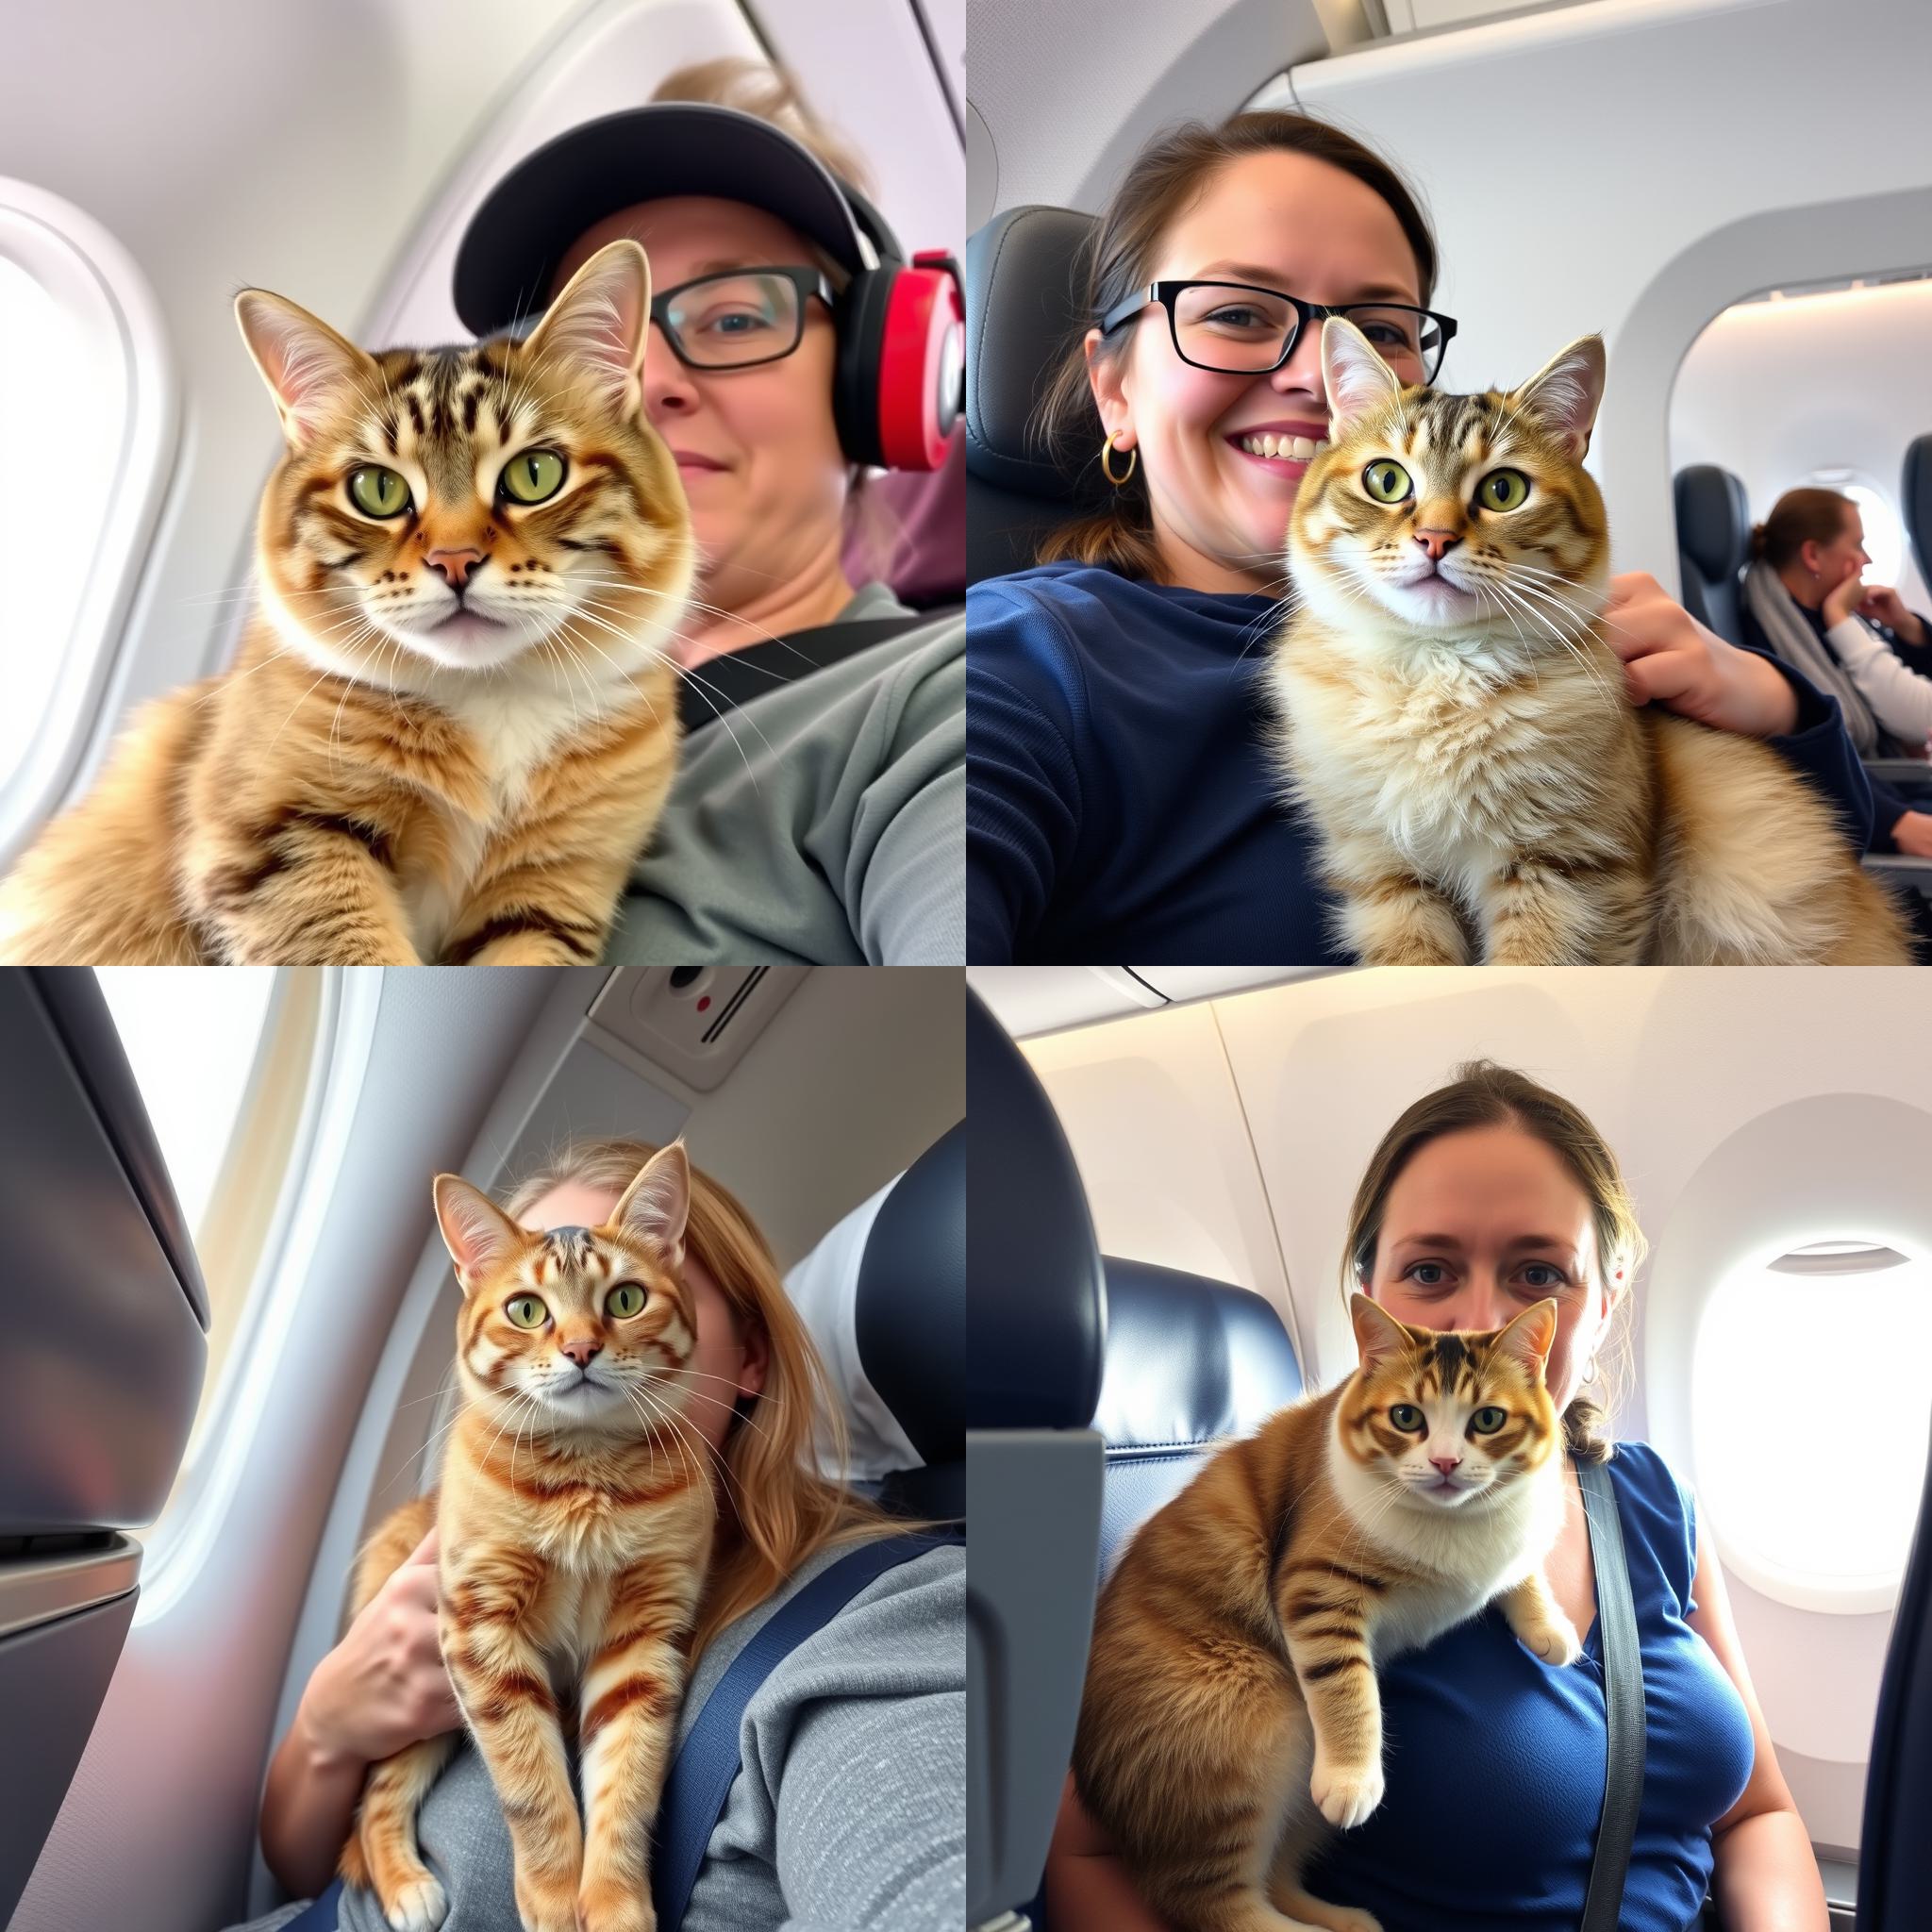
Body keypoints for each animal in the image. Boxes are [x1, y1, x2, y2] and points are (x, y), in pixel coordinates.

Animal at [0, 242, 695, 966]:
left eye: (535, 475)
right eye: (377, 490)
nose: (454, 561)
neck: (493, 697)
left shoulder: (551, 894)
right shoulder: (286, 840)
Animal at [343, 1143, 714, 1932]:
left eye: (626, 1300)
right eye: (527, 1309)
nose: (580, 1349)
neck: (586, 1478)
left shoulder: (641, 1642)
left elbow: (626, 1787)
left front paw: (613, 1906)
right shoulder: (481, 1631)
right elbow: (532, 1789)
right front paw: (551, 1899)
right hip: (419, 1718)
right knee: (377, 1796)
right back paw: (405, 1886)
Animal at [1081, 1291, 1576, 1932]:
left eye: (1487, 1420)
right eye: (1406, 1418)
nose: (1445, 1463)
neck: (1455, 1522)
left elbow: (1522, 1568)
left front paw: (1548, 1627)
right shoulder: (1316, 1586)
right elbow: (1347, 1689)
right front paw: (1353, 1774)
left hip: (1296, 1796)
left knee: (1276, 1875)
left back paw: (1343, 1919)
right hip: (1250, 1734)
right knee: (1214, 1905)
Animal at [1267, 314, 1916, 966]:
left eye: (1503, 491)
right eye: (1385, 480)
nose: (1434, 538)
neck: (1437, 679)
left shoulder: (1567, 870)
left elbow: (1531, 968)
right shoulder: (1386, 874)